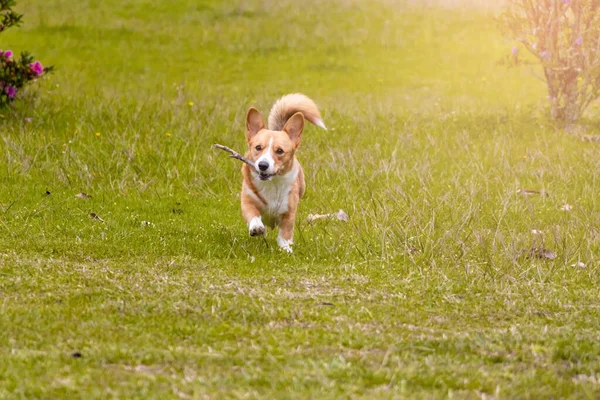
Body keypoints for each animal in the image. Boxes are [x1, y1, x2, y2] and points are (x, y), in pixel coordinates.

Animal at [240, 93, 328, 253]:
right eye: (258, 147)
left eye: (279, 151)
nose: (263, 165)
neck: (272, 183)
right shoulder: (247, 201)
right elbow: (253, 214)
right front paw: (256, 227)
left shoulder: (289, 212)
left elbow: (285, 232)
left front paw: (286, 248)